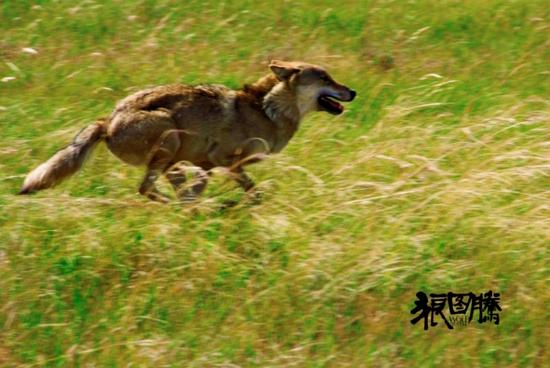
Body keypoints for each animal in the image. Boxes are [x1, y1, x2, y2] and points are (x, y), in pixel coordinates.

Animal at [18, 60, 358, 204]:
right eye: (325, 77)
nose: (353, 91)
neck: (268, 110)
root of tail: (108, 120)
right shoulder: (224, 159)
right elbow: (252, 189)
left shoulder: (207, 165)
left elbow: (205, 188)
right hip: (170, 136)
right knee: (145, 190)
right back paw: (174, 207)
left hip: (174, 159)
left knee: (160, 190)